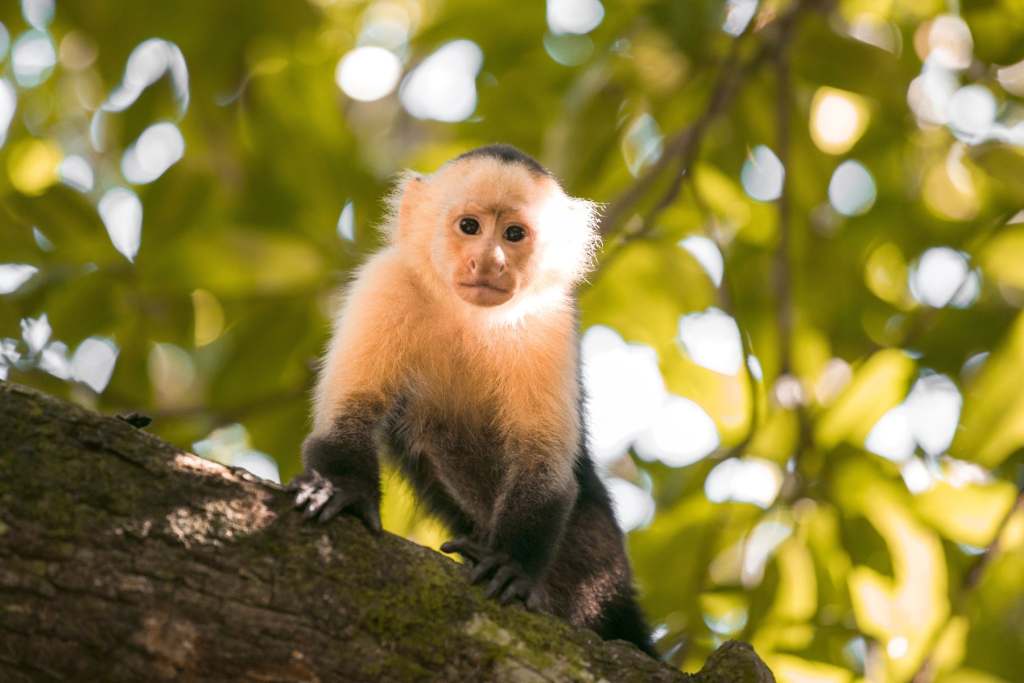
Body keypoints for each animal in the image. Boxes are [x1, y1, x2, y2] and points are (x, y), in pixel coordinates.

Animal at [289, 144, 656, 657]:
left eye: (514, 234)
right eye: (470, 227)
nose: (489, 262)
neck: (467, 317)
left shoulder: (549, 324)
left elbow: (541, 465)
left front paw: (511, 565)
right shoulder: (385, 284)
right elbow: (350, 414)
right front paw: (341, 486)